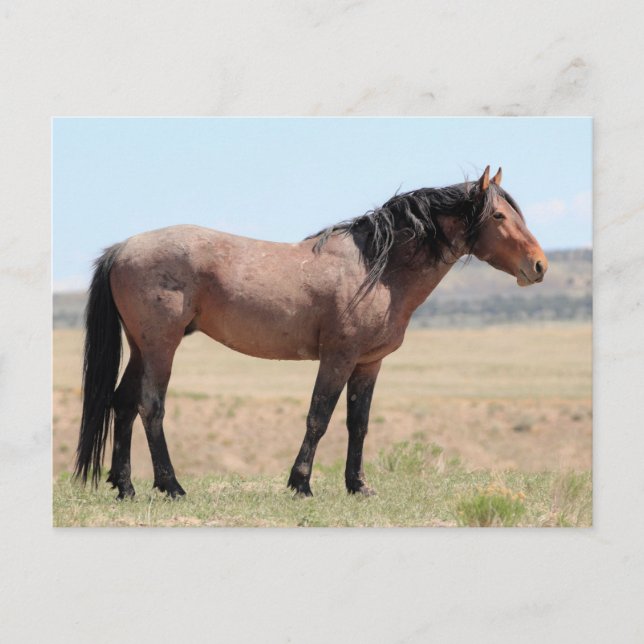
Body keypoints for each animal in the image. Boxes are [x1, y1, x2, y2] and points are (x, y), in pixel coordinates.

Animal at [74, 166, 548, 499]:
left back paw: (125, 486)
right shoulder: (338, 357)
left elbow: (358, 424)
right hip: (162, 347)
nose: (540, 266)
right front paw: (301, 483)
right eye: (500, 215)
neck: (378, 270)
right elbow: (319, 417)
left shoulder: (368, 364)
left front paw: (359, 486)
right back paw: (170, 486)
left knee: (123, 404)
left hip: (141, 347)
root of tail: (122, 248)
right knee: (151, 407)